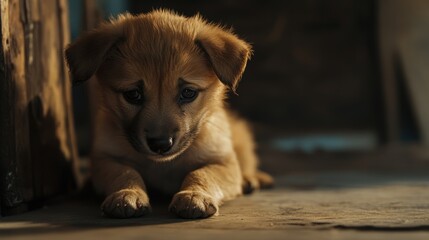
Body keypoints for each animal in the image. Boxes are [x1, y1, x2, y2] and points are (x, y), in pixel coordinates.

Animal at [65, 9, 272, 219]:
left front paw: (194, 195)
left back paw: (250, 178)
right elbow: (125, 172)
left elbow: (202, 173)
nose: (160, 144)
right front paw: (127, 193)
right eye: (133, 94)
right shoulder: (105, 159)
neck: (163, 165)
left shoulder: (223, 162)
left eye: (188, 93)